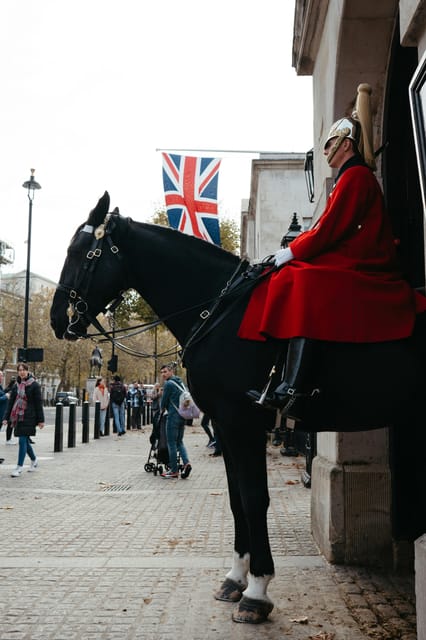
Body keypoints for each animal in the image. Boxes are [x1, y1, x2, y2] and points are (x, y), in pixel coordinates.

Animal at [50, 194, 426, 624]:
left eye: (80, 251)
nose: (57, 318)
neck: (218, 310)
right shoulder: (227, 427)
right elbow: (235, 500)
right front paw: (235, 579)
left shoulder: (242, 423)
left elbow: (254, 497)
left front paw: (257, 591)